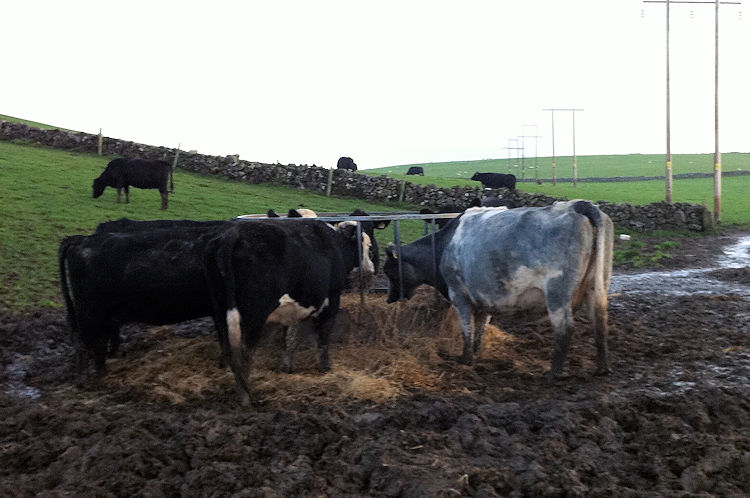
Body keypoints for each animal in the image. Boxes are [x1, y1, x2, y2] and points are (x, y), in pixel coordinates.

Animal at [203, 218, 376, 404]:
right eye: (367, 246)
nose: (371, 269)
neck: (336, 244)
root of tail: (235, 233)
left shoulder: (293, 311)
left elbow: (290, 338)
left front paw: (286, 367)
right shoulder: (332, 299)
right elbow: (323, 338)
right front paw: (325, 368)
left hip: (220, 310)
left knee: (227, 346)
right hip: (254, 315)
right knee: (245, 352)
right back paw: (245, 397)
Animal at [388, 200, 616, 380]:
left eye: (387, 271)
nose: (390, 298)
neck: (443, 246)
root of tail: (576, 205)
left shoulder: (458, 295)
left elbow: (466, 328)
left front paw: (465, 359)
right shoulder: (484, 299)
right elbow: (480, 327)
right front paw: (477, 353)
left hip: (557, 292)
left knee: (565, 327)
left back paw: (554, 373)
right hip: (597, 286)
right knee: (600, 321)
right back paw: (602, 368)